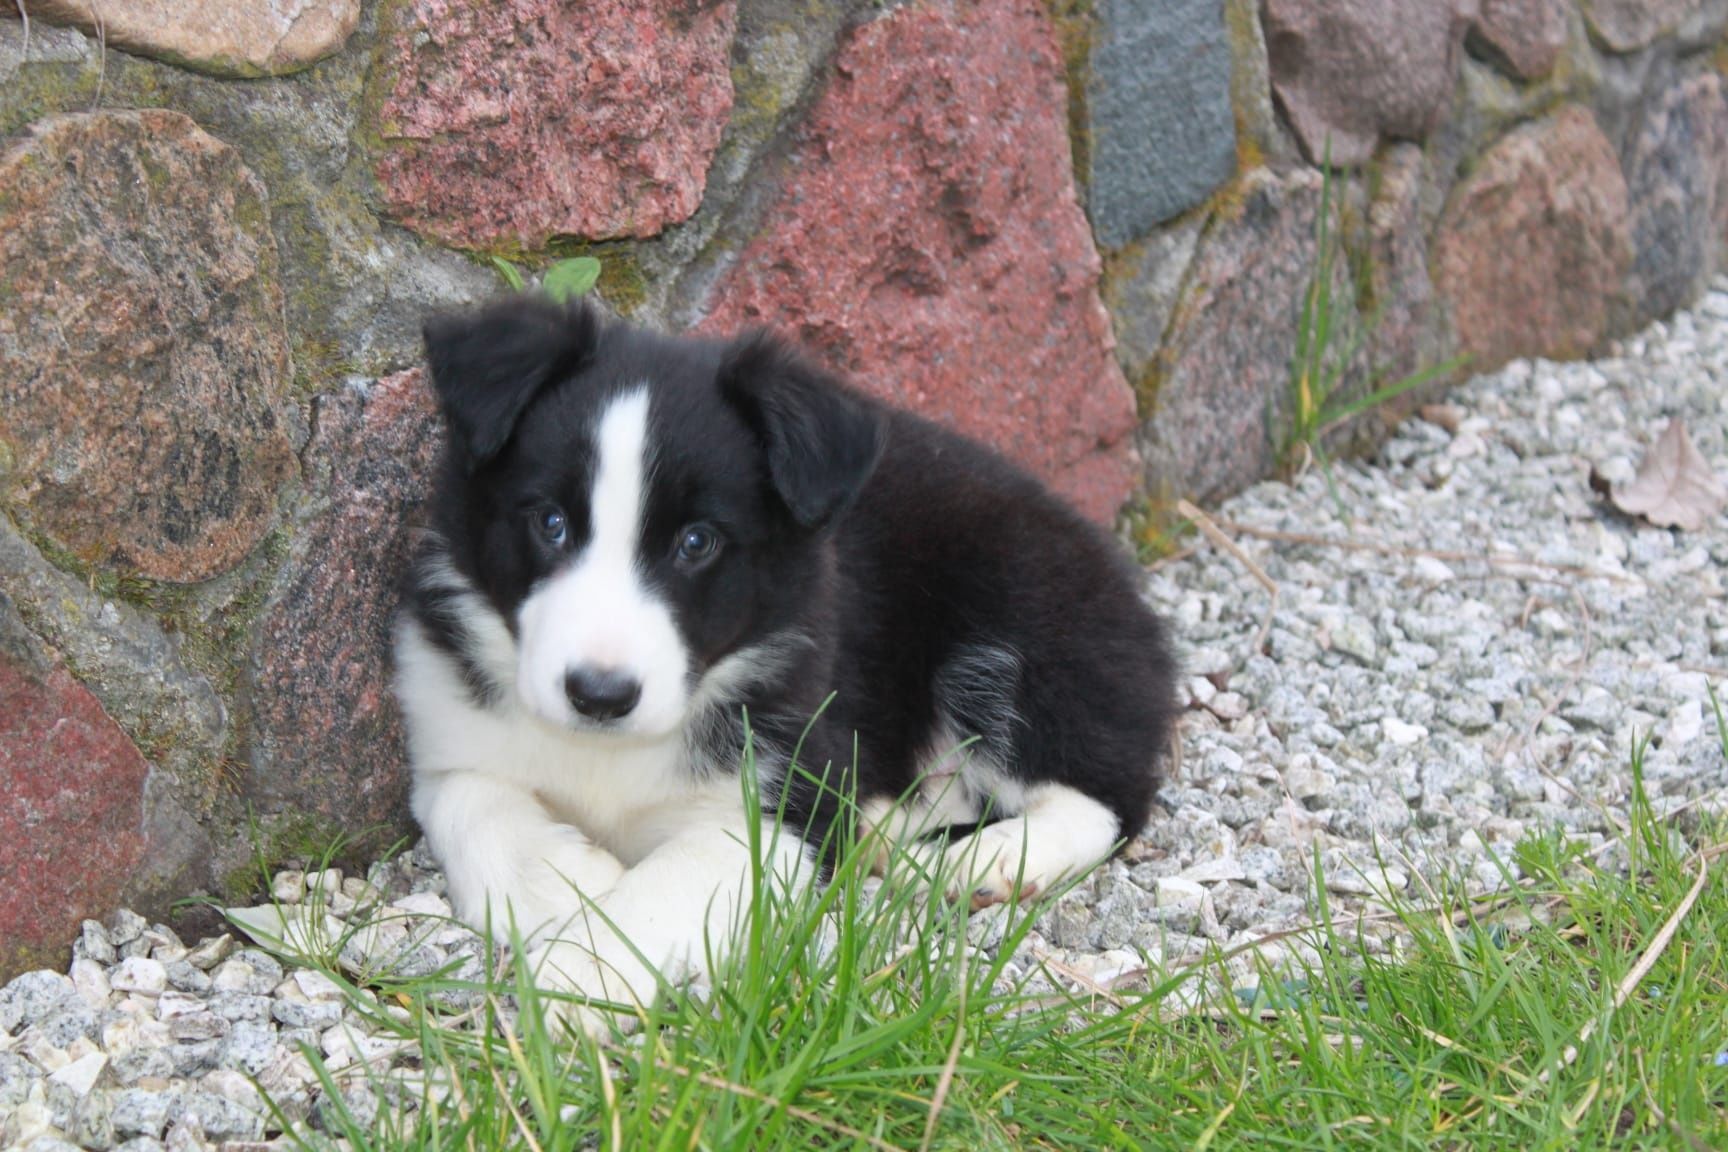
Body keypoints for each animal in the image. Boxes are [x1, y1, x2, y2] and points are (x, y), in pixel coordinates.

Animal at [392, 297, 1175, 1029]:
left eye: (698, 542)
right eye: (550, 523)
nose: (600, 695)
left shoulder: (780, 801)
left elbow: (664, 884)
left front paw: (582, 971)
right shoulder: (445, 720)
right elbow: (465, 799)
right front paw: (563, 881)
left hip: (1025, 615)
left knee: (1106, 796)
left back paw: (986, 861)